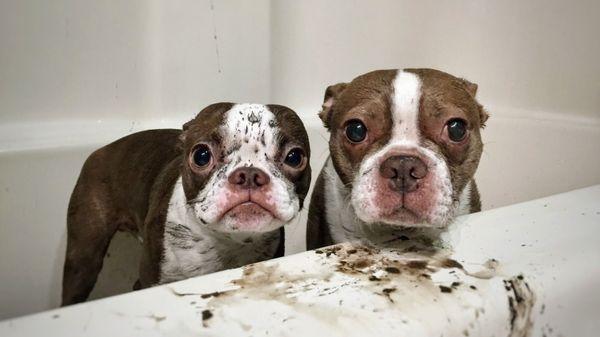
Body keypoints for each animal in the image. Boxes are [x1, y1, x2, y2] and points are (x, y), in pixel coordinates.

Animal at [63, 102, 312, 304]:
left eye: (294, 157)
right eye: (201, 155)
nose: (249, 174)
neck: (227, 240)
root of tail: (100, 149)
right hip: (84, 257)